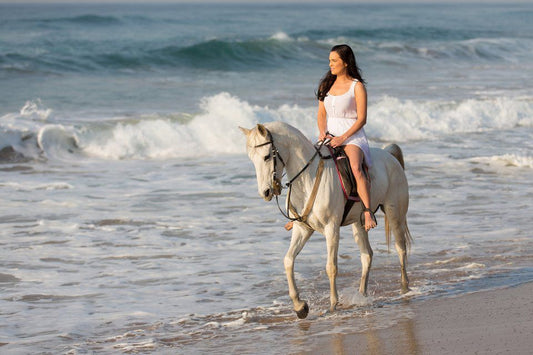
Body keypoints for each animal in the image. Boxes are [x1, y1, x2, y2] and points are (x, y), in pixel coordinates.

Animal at [240, 122, 412, 320]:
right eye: (252, 159)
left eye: (267, 156)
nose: (266, 192)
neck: (308, 178)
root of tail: (389, 156)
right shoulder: (302, 229)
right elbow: (288, 260)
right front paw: (300, 306)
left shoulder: (332, 228)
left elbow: (331, 267)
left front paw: (332, 306)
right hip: (358, 223)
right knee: (367, 255)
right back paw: (362, 295)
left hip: (395, 214)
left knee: (400, 248)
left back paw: (405, 289)